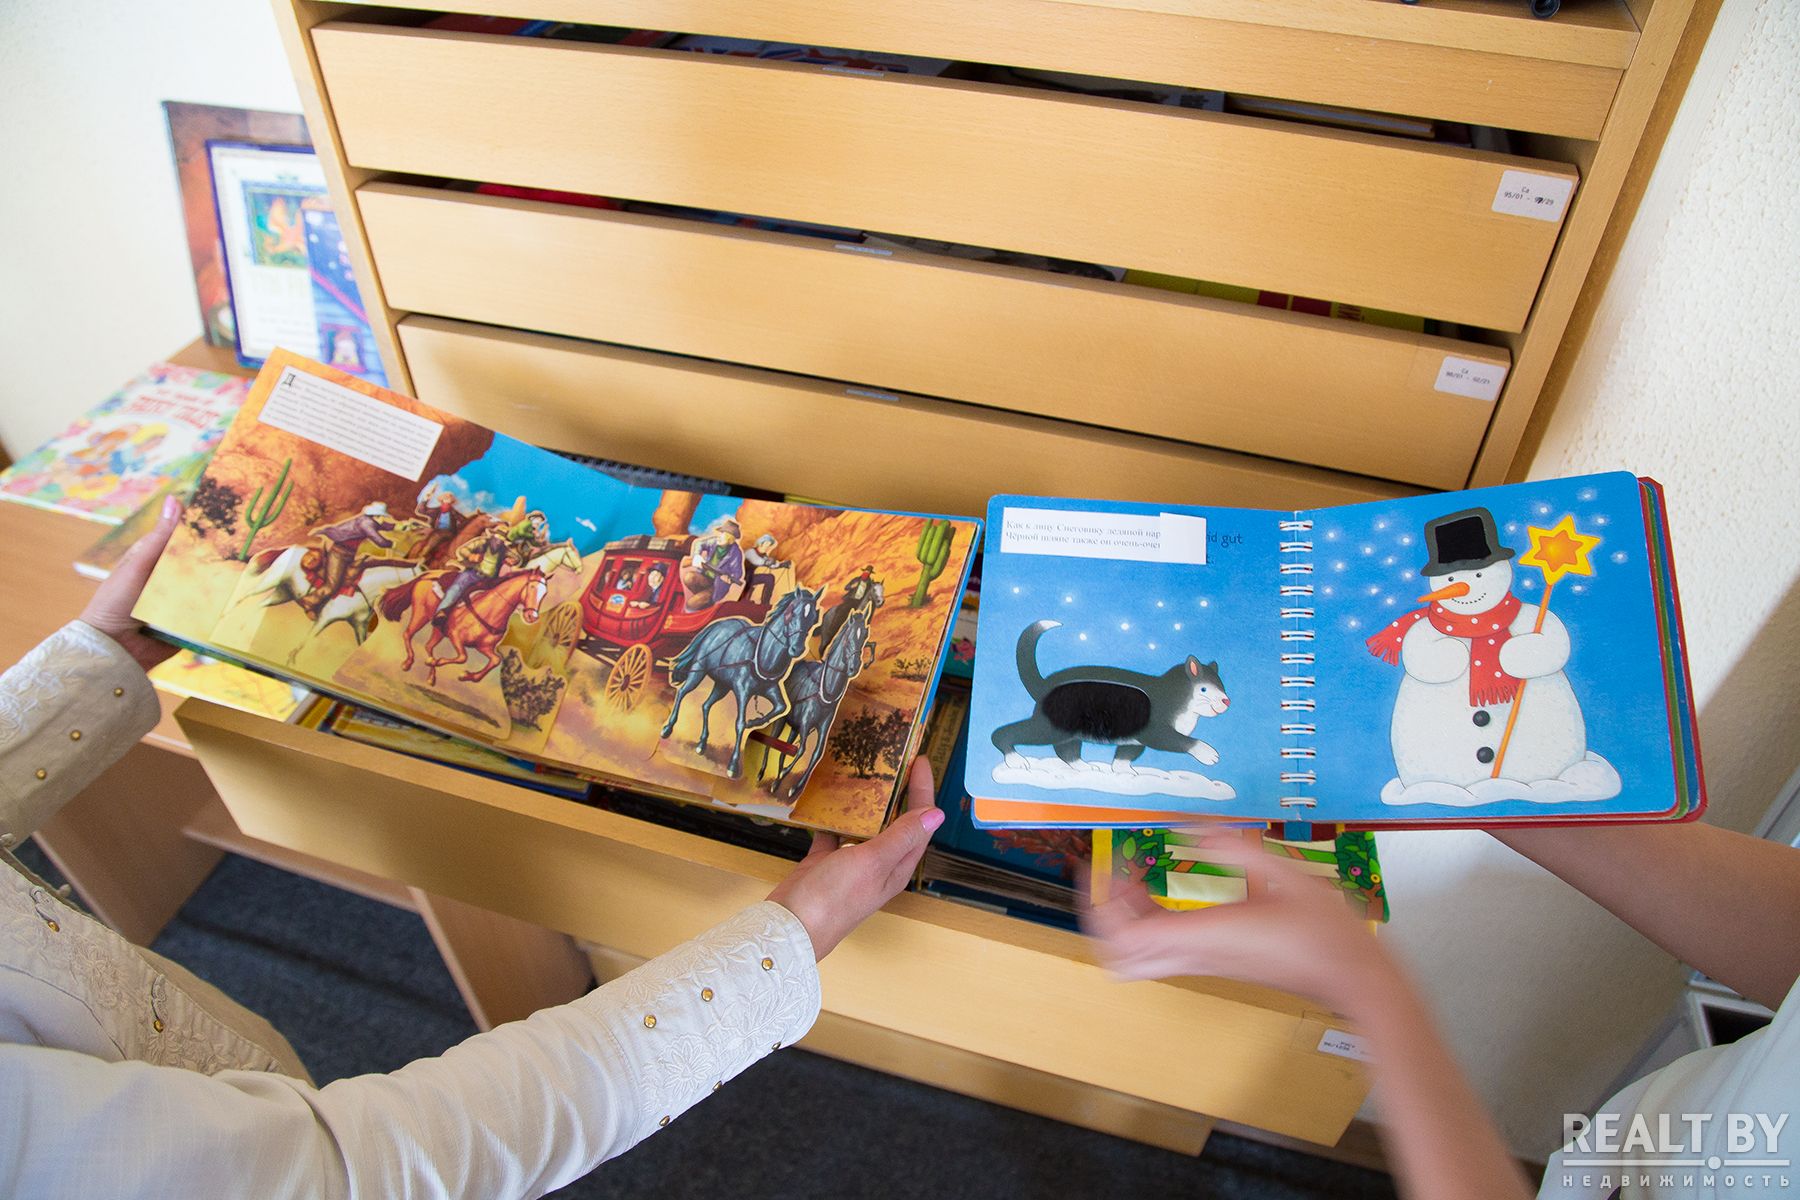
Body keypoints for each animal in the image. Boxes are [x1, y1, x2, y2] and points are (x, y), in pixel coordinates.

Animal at [380, 542, 581, 684]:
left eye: (544, 593)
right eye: (531, 587)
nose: (531, 616)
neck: (490, 608)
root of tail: (427, 575)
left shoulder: (485, 647)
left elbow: (495, 661)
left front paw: (467, 676)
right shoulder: (455, 636)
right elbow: (463, 657)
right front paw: (441, 664)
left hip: (438, 629)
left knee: (429, 646)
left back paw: (431, 676)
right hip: (421, 614)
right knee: (407, 634)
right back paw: (408, 663)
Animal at [660, 586, 820, 776]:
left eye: (814, 618)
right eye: (792, 612)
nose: (797, 649)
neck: (762, 654)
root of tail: (715, 626)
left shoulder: (771, 689)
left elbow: (780, 707)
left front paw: (754, 723)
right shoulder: (742, 690)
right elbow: (740, 723)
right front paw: (733, 764)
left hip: (722, 685)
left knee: (706, 705)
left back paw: (702, 743)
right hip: (698, 672)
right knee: (683, 692)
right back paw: (667, 728)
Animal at [759, 605, 871, 801]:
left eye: (864, 634)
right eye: (850, 636)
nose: (854, 667)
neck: (824, 688)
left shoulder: (822, 726)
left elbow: (816, 754)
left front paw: (794, 787)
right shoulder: (806, 722)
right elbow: (801, 749)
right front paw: (784, 775)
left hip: (794, 727)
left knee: (784, 749)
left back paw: (777, 782)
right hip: (783, 721)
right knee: (772, 741)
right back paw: (763, 773)